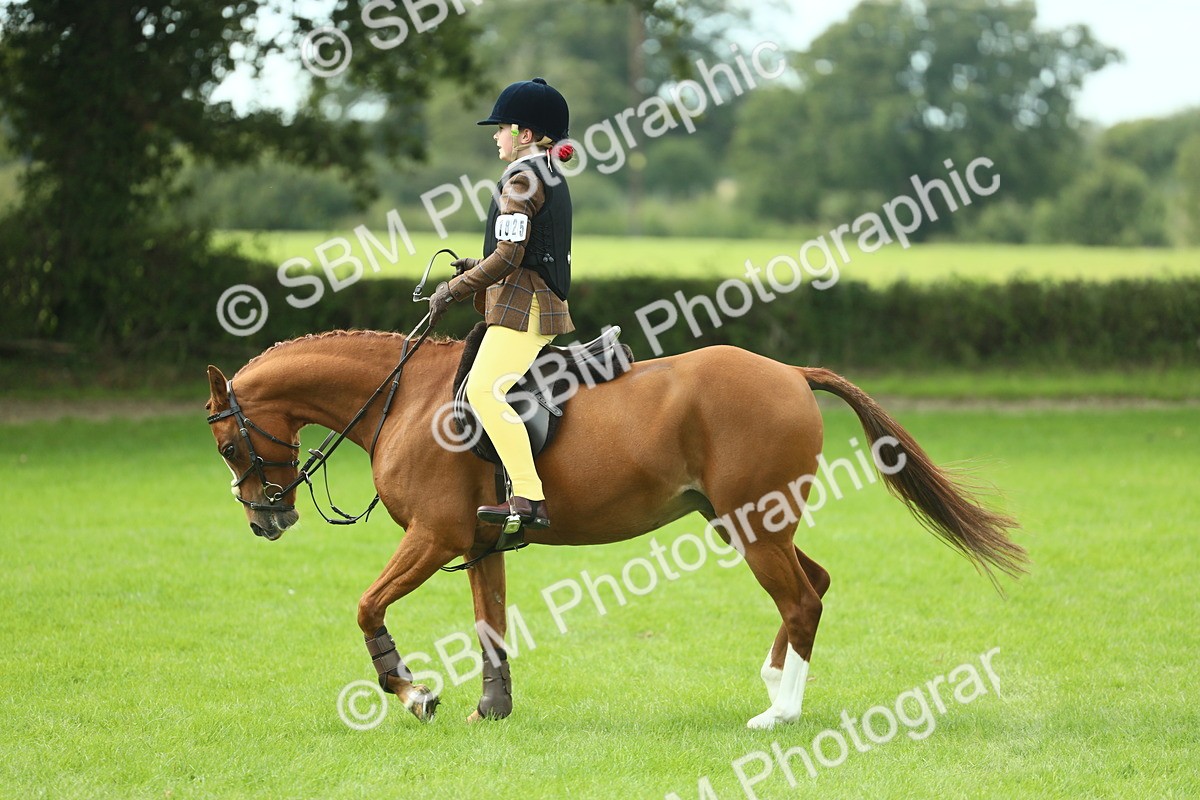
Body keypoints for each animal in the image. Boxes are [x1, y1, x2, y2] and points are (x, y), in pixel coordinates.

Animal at [204, 329, 1026, 729]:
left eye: (226, 445)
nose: (266, 518)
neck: (402, 398)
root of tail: (791, 373)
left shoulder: (432, 539)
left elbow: (368, 607)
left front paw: (413, 694)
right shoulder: (478, 545)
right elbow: (490, 627)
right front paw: (490, 710)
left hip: (755, 528)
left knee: (800, 599)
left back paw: (781, 712)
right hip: (748, 522)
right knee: (814, 586)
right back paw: (774, 684)